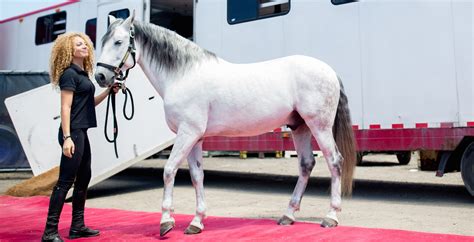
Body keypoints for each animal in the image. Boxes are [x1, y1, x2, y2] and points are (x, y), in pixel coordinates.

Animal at [95, 12, 356, 236]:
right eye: (103, 41)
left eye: (118, 42)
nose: (100, 77)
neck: (183, 75)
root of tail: (329, 71)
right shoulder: (195, 137)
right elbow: (197, 176)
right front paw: (196, 222)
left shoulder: (187, 133)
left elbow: (169, 170)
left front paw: (166, 222)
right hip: (299, 127)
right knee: (306, 164)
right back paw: (288, 216)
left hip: (319, 126)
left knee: (334, 161)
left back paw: (331, 216)